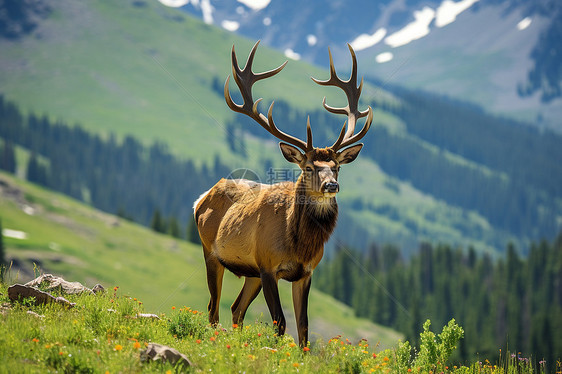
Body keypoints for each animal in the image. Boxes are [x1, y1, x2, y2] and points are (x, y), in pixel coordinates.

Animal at [192, 39, 372, 346]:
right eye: (309, 167)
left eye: (336, 167)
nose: (331, 185)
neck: (298, 244)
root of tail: (200, 199)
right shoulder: (268, 267)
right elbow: (281, 322)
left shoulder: (306, 273)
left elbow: (303, 326)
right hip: (211, 253)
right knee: (213, 308)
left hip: (249, 273)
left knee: (235, 308)